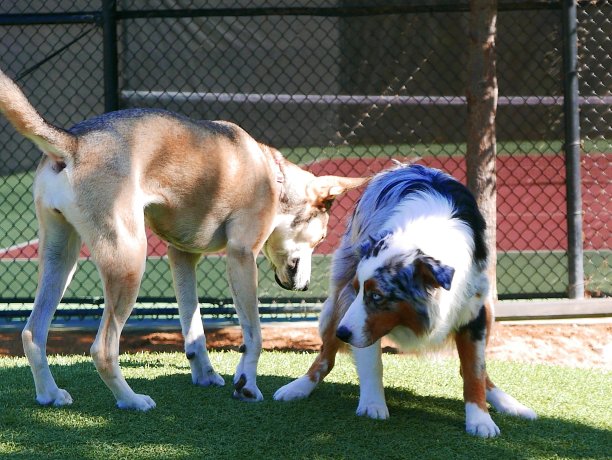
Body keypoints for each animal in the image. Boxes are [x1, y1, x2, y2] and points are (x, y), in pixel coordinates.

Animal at [0, 70, 366, 408]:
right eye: (321, 238)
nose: (304, 287)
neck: (273, 177)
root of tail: (74, 142)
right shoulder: (241, 256)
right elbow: (254, 335)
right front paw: (247, 384)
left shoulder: (181, 256)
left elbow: (194, 328)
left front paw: (205, 374)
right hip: (129, 259)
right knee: (102, 348)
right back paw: (131, 400)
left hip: (60, 256)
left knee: (33, 332)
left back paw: (49, 394)